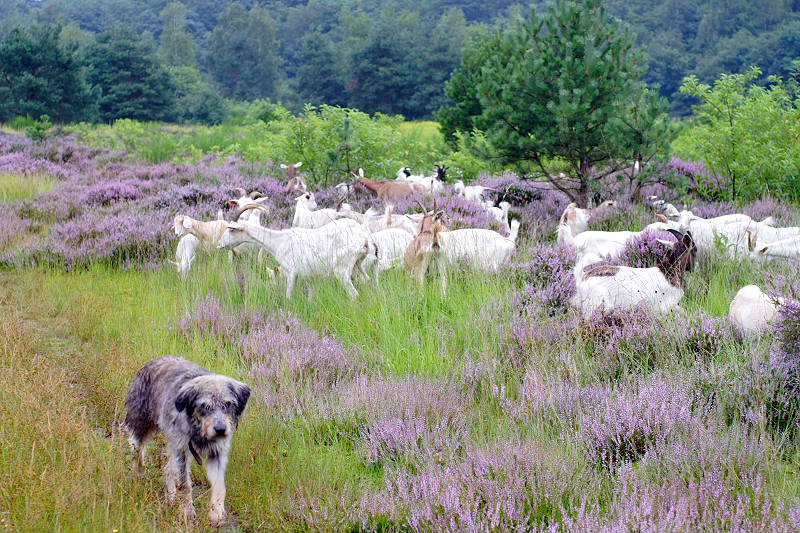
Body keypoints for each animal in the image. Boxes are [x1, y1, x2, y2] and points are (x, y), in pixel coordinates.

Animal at [126, 356, 250, 524]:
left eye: (228, 403)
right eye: (205, 406)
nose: (220, 429)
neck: (199, 430)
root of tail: (152, 362)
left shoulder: (216, 454)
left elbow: (219, 486)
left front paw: (216, 512)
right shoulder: (182, 451)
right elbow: (185, 485)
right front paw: (187, 511)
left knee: (168, 468)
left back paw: (171, 497)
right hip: (142, 426)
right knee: (137, 453)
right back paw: (138, 475)